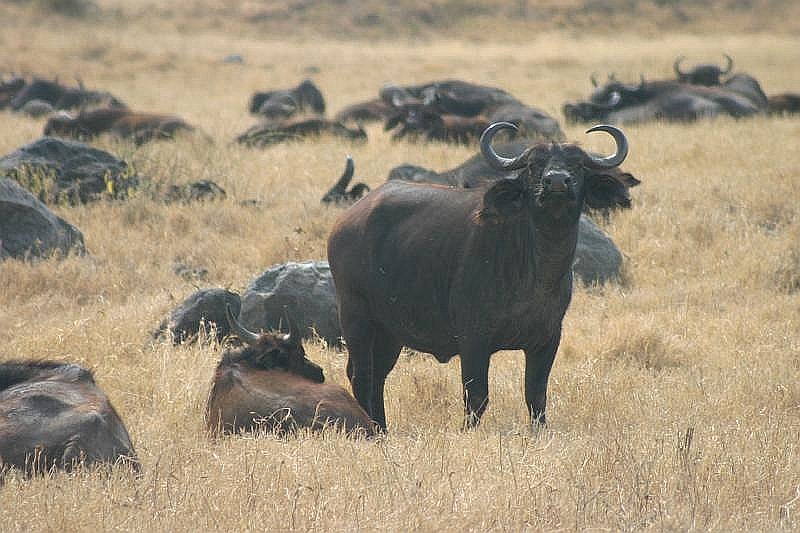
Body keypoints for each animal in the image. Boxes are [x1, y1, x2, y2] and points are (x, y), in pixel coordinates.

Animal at [328, 122, 628, 430]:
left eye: (577, 165)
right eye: (534, 165)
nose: (556, 181)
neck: (537, 273)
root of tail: (345, 223)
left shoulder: (548, 339)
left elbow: (536, 395)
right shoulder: (474, 339)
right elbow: (477, 396)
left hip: (390, 331)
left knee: (378, 374)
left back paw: (382, 428)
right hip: (356, 316)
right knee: (361, 374)